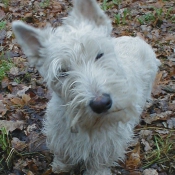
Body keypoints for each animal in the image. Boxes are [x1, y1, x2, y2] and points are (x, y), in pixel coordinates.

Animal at [11, 0, 160, 174]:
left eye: (99, 54)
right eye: (62, 71)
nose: (101, 103)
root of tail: (137, 39)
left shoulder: (107, 145)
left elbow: (99, 164)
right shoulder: (60, 137)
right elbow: (63, 155)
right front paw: (60, 167)